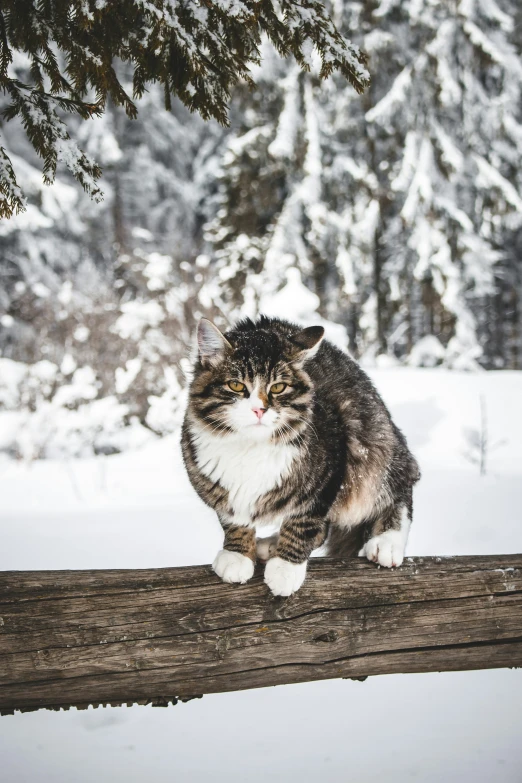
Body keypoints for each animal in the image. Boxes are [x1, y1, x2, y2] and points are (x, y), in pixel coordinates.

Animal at [181, 316, 420, 596]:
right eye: (236, 385)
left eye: (278, 387)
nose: (259, 409)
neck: (250, 445)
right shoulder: (215, 484)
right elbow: (232, 519)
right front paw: (237, 554)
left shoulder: (330, 471)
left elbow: (303, 524)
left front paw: (286, 568)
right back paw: (270, 543)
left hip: (375, 450)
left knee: (398, 489)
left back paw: (387, 541)